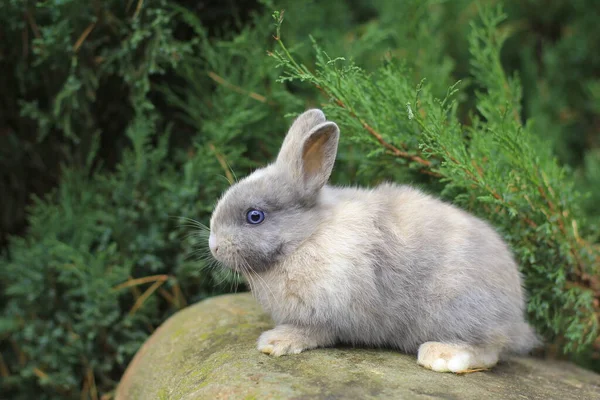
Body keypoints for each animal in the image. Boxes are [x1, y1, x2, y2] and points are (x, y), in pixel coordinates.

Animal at [207, 108, 540, 372]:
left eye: (255, 216)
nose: (214, 246)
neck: (307, 237)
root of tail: (514, 312)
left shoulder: (326, 315)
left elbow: (312, 332)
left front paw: (275, 342)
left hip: (459, 311)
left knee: (490, 350)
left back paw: (441, 355)